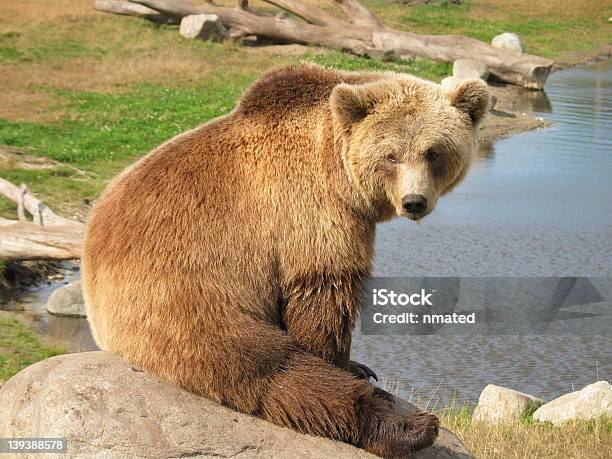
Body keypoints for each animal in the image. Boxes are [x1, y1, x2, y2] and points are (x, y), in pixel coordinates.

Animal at [83, 63, 490, 458]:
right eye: (391, 155)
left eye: (433, 152)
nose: (414, 201)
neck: (337, 171)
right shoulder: (309, 212)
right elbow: (323, 298)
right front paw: (347, 363)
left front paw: (358, 365)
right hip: (182, 295)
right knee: (266, 368)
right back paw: (407, 426)